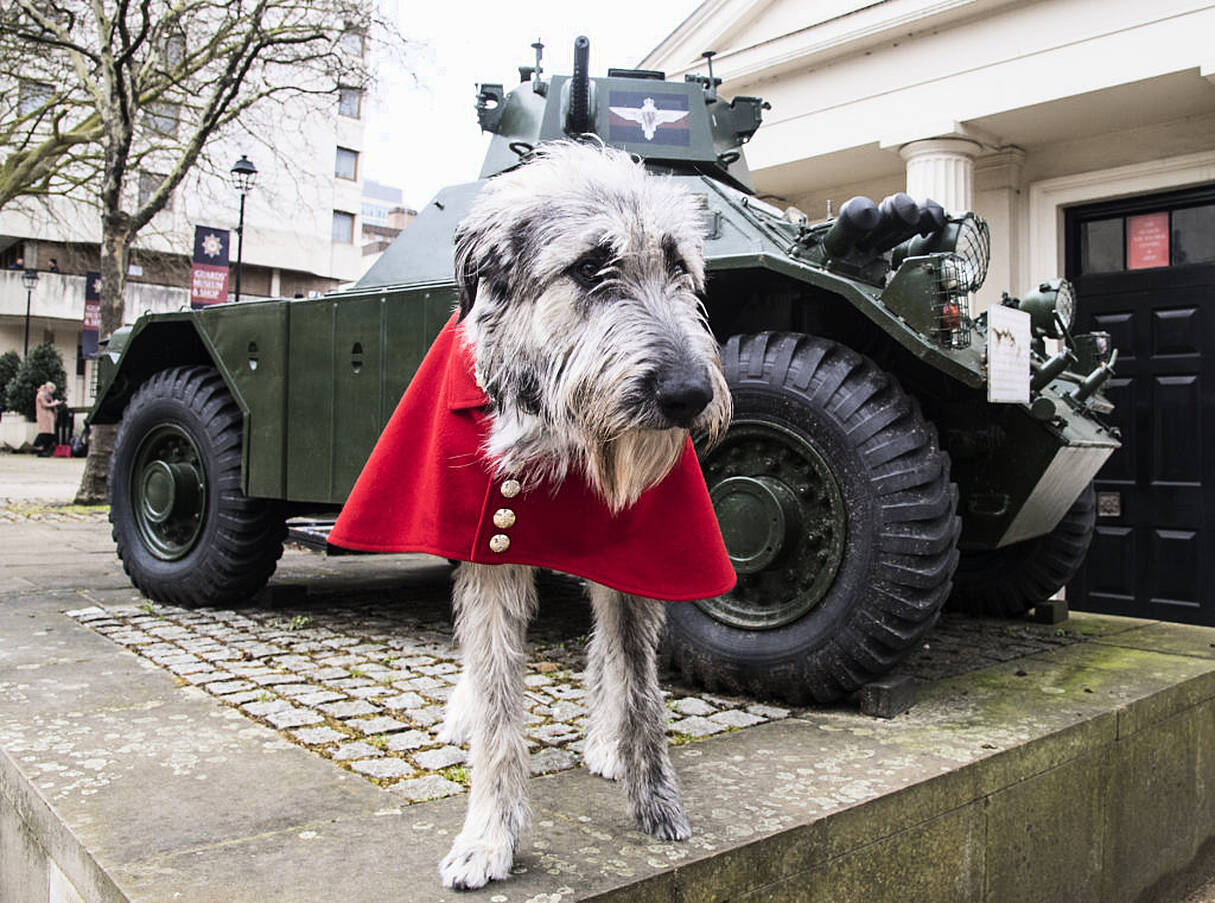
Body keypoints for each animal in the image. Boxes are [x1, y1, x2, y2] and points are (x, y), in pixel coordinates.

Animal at [432, 142, 724, 889]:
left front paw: (656, 802)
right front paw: (488, 836)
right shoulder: (488, 547)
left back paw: (606, 741)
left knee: (612, 651)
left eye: (678, 265)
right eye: (591, 266)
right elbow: (497, 691)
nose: (689, 395)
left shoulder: (639, 553)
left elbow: (641, 686)